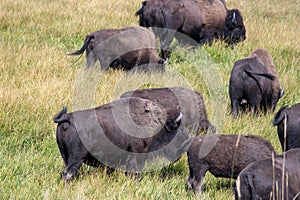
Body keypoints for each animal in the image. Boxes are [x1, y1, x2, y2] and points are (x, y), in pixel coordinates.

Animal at [53, 97, 190, 180]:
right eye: (178, 129)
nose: (186, 144)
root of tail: (67, 117)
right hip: (77, 158)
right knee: (68, 173)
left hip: (66, 157)